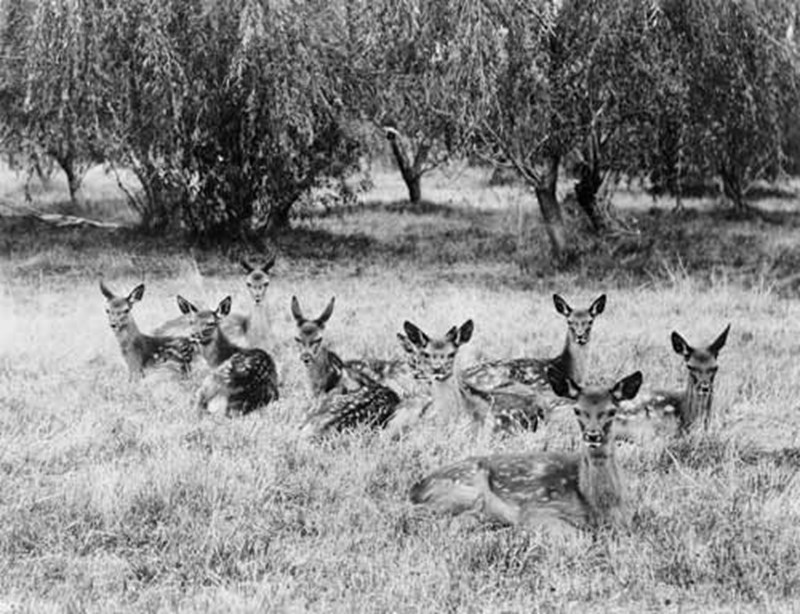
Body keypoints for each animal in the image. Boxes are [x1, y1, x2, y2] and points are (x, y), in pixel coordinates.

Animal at [409, 368, 644, 533]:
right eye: (577, 410)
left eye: (612, 411)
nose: (592, 436)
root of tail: (416, 489)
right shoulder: (539, 508)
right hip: (466, 490)